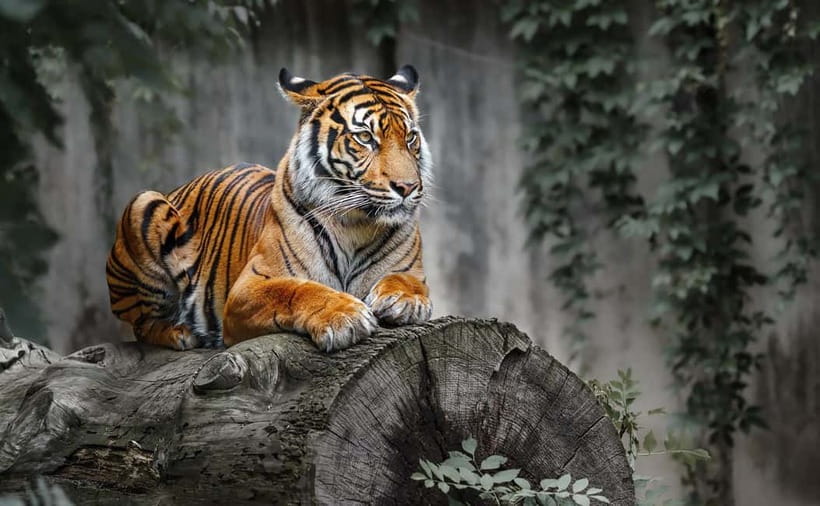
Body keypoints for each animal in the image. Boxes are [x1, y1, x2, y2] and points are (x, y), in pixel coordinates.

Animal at [105, 65, 432, 352]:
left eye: (410, 138)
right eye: (365, 137)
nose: (407, 187)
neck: (356, 225)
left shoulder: (410, 269)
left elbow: (409, 280)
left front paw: (405, 300)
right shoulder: (247, 288)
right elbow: (296, 290)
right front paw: (344, 315)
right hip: (144, 204)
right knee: (141, 325)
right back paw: (179, 332)